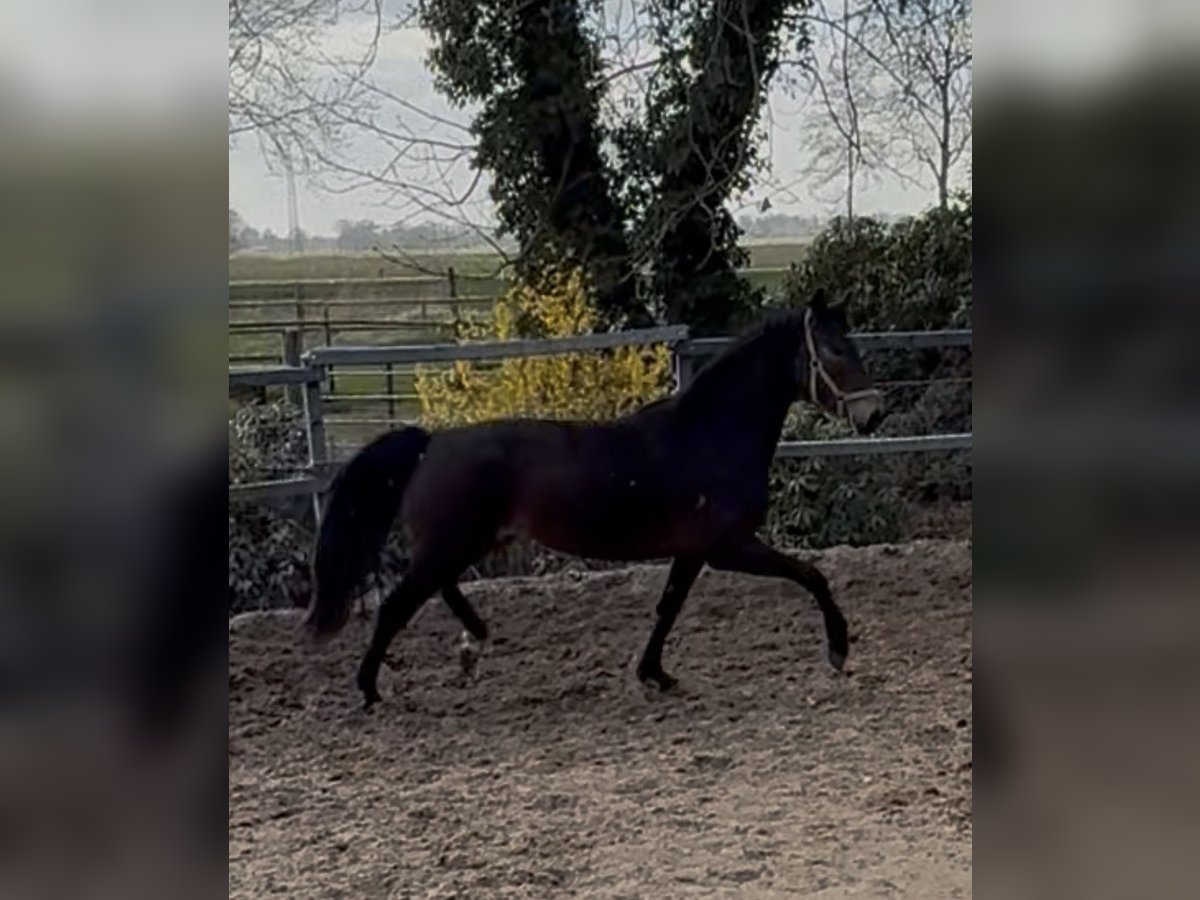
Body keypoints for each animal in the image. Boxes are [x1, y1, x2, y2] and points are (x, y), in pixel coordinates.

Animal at [305, 290, 885, 708]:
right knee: (398, 604)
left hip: (464, 542)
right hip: (453, 542)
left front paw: (655, 674)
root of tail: (431, 443)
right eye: (834, 350)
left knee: (434, 591)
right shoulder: (729, 547)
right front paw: (838, 649)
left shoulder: (693, 551)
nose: (874, 413)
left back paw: (473, 644)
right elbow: (811, 575)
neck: (709, 436)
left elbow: (669, 606)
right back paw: (371, 689)